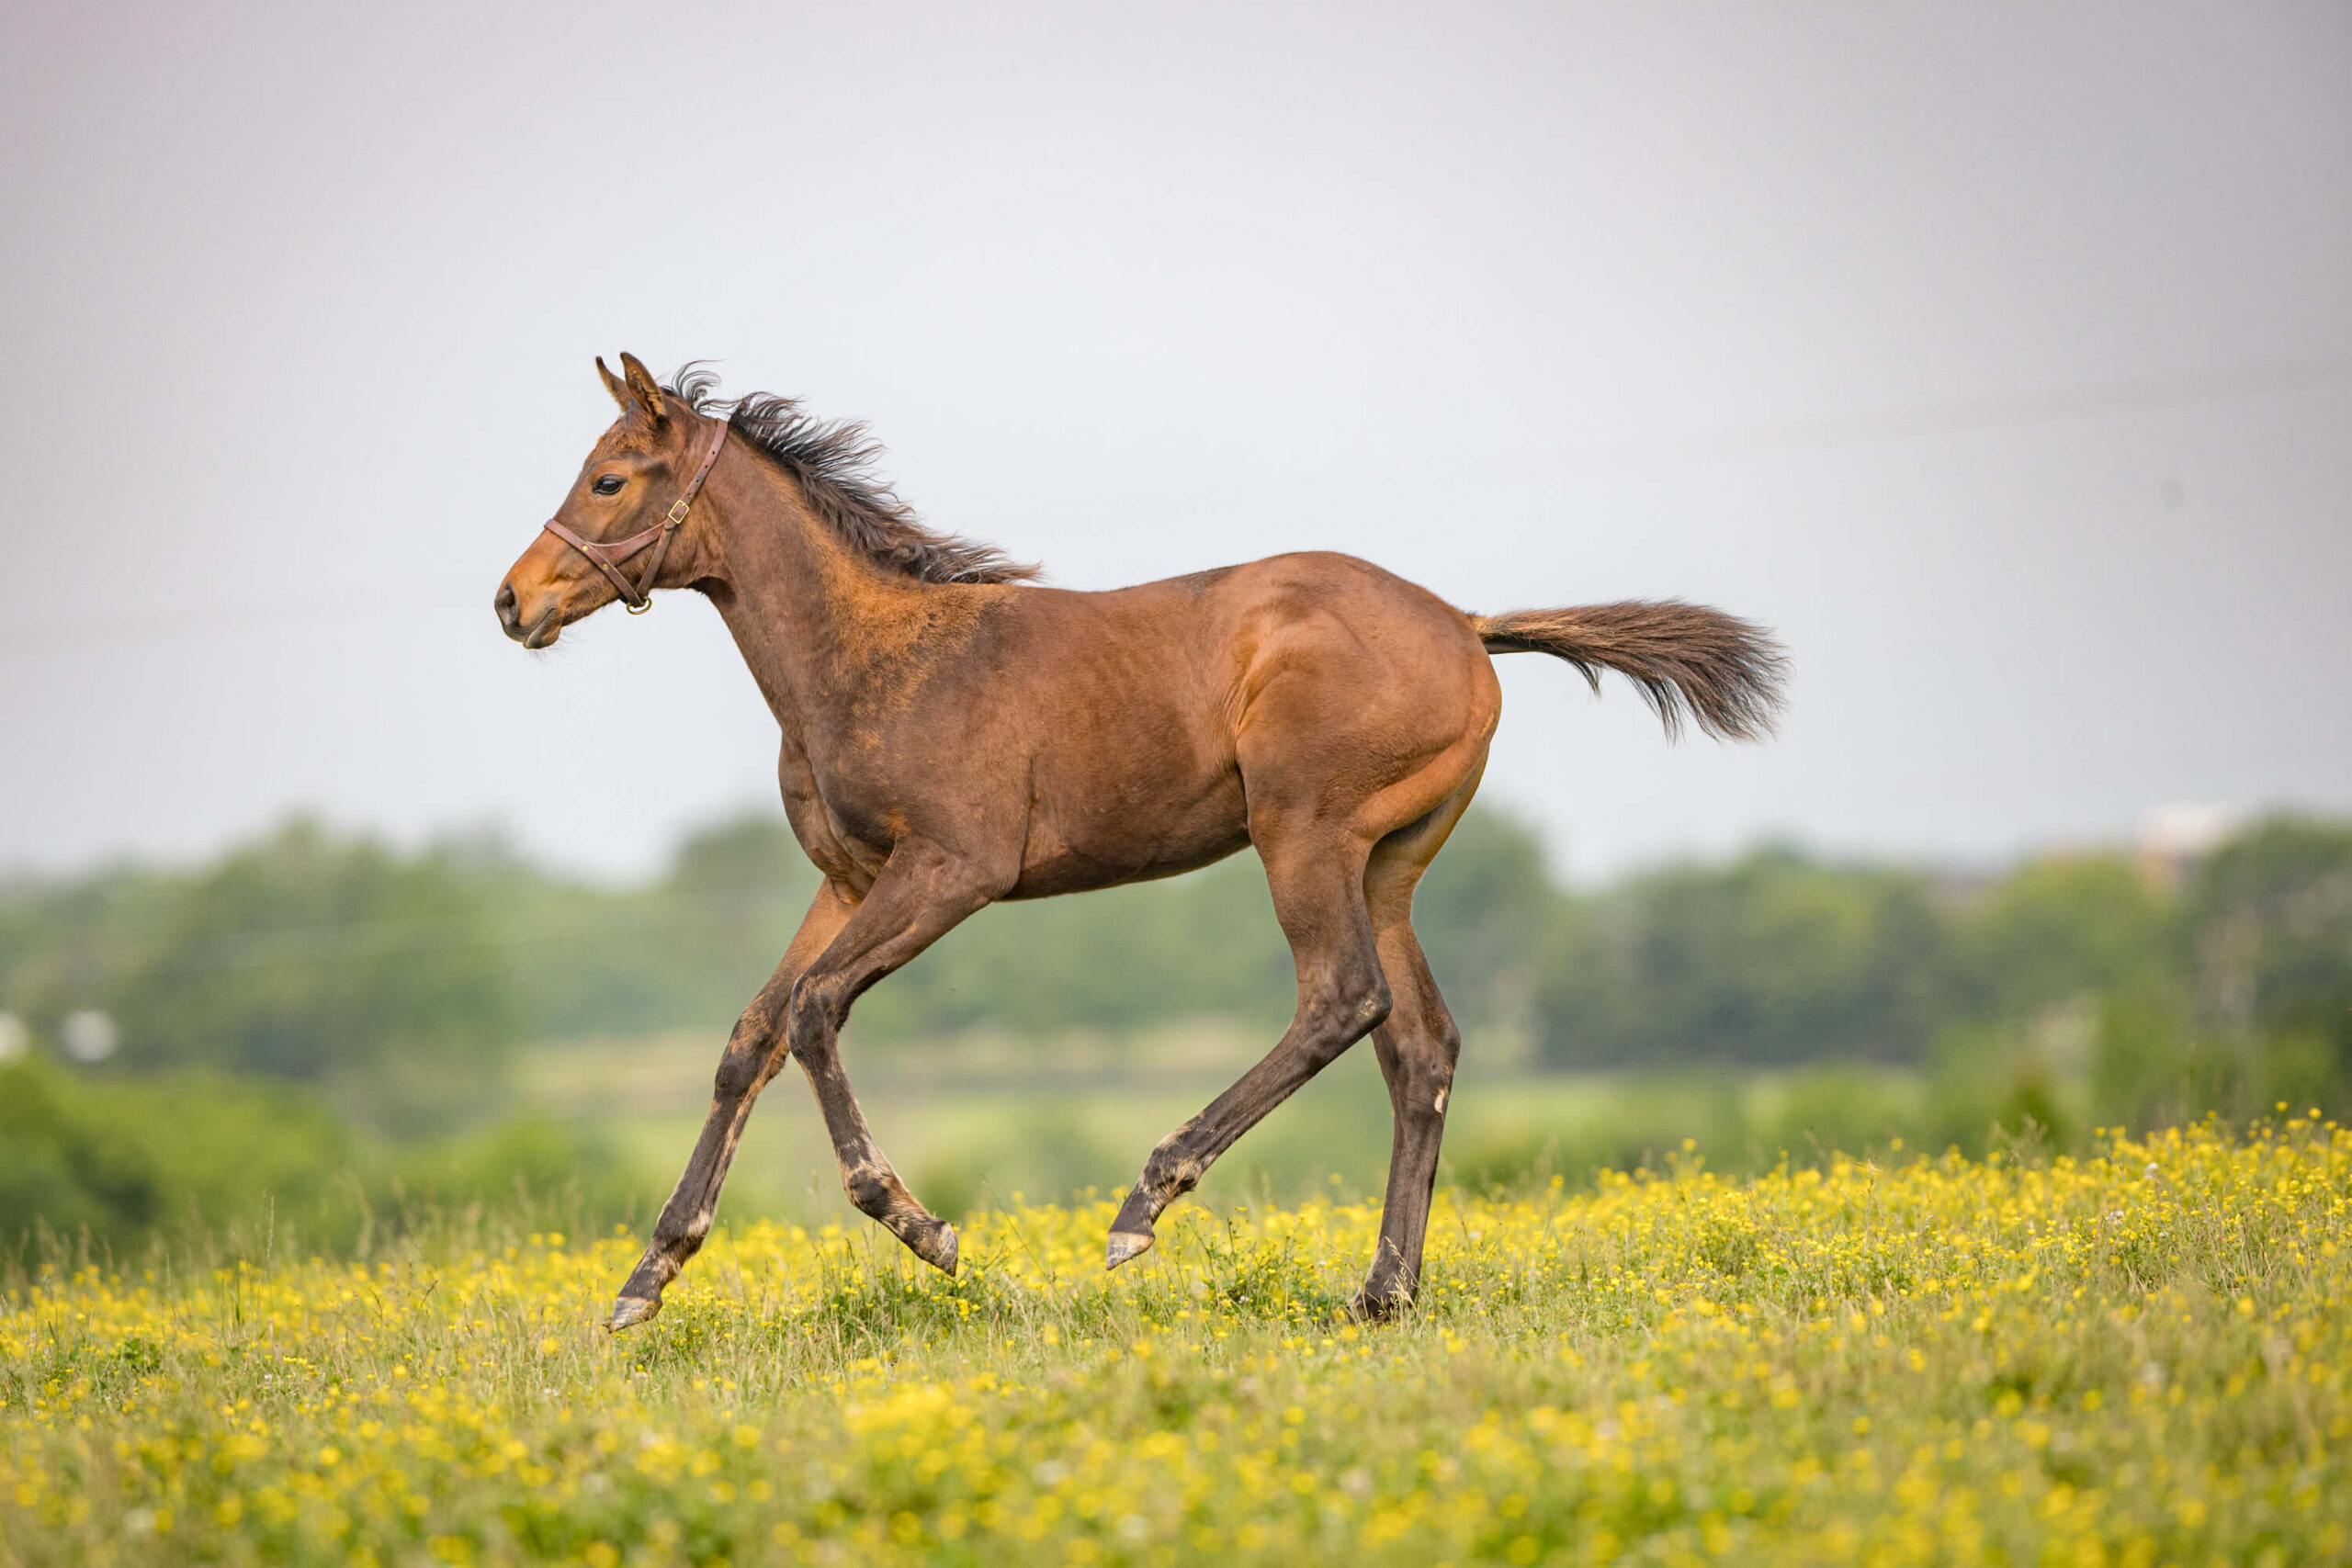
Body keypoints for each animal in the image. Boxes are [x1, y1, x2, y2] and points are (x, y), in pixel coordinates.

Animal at [496, 353, 1787, 1329]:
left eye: (609, 479)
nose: (514, 601)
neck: (874, 659)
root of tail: (1467, 627)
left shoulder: (951, 871)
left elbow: (813, 1013)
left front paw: (922, 1227)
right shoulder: (848, 879)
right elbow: (749, 1038)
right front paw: (647, 1277)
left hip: (1301, 834)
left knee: (1342, 999)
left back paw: (1143, 1204)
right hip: (1391, 865)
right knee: (1421, 1046)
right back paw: (1383, 1293)